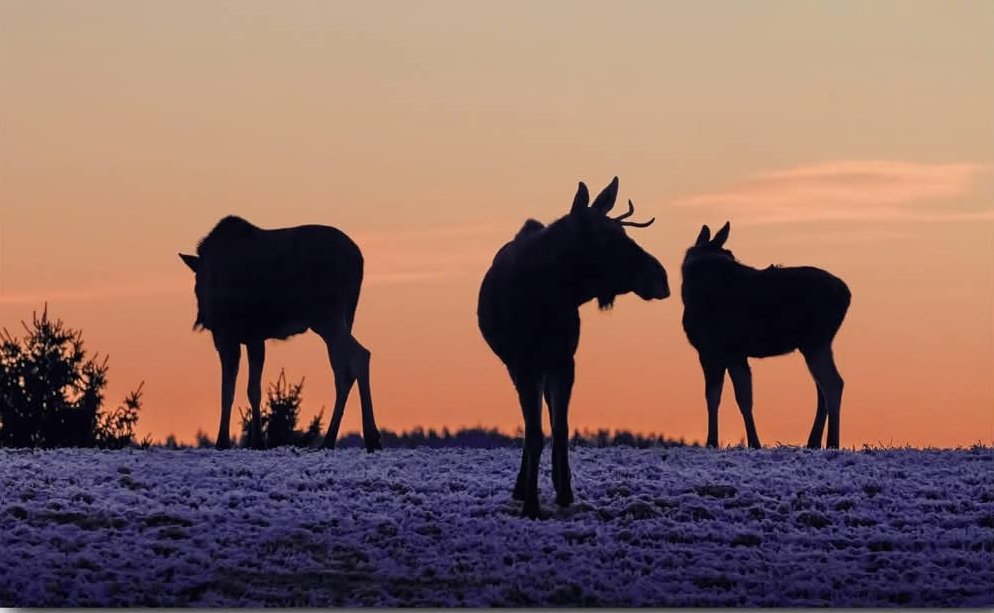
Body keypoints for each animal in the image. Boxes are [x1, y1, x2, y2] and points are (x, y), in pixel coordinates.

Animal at [179, 215, 382, 452]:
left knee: (360, 356)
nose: (202, 317)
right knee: (343, 371)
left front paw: (228, 441)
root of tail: (359, 259)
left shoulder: (230, 335)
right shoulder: (251, 337)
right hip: (343, 318)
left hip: (326, 316)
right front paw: (253, 441)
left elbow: (233, 389)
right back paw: (331, 439)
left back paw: (370, 437)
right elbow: (247, 389)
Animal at [477, 177, 670, 518]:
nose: (661, 277)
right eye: (606, 239)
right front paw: (531, 504)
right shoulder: (524, 364)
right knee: (531, 428)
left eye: (625, 233)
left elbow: (561, 429)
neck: (550, 299)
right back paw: (522, 488)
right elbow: (536, 433)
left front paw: (565, 493)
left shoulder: (564, 361)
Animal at [681, 221, 851, 449]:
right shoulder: (735, 354)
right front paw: (754, 442)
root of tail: (847, 295)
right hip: (816, 344)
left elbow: (712, 396)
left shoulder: (710, 349)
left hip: (816, 340)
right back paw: (813, 442)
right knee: (821, 387)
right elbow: (744, 397)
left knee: (833, 383)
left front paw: (712, 442)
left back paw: (832, 442)